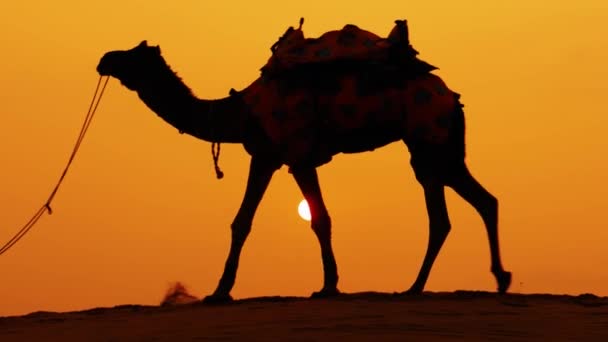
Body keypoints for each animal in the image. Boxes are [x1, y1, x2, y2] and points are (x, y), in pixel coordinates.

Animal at [97, 36, 510, 304]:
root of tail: (452, 97)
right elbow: (242, 222)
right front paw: (220, 292)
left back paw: (420, 286)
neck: (239, 111)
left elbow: (319, 219)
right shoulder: (265, 156)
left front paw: (328, 287)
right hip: (439, 148)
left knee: (449, 211)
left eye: (132, 56)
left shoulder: (297, 156)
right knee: (475, 203)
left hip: (429, 139)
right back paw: (483, 280)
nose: (104, 58)